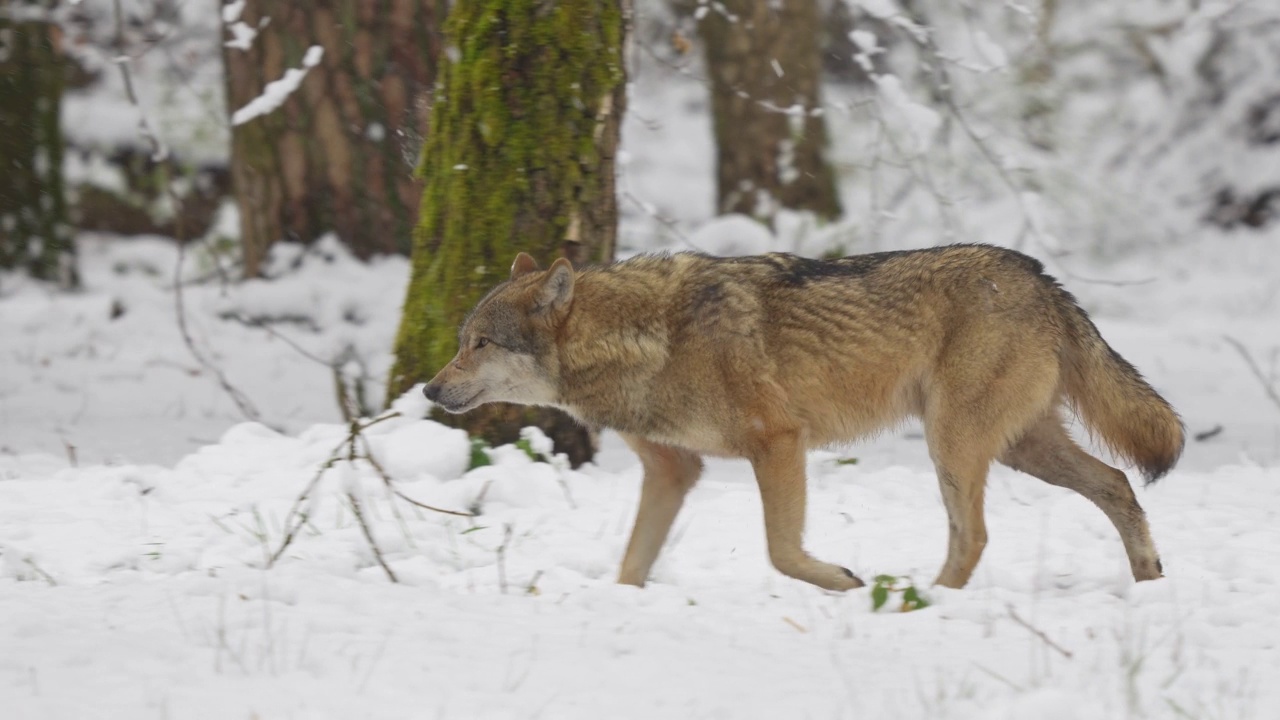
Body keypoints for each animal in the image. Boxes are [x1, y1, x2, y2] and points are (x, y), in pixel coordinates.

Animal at [424, 243, 1182, 591]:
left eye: (480, 344)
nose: (429, 390)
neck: (645, 336)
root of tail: (1039, 273)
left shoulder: (778, 442)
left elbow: (781, 552)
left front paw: (843, 582)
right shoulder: (674, 472)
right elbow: (630, 566)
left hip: (954, 446)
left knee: (976, 535)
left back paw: (928, 602)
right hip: (1022, 449)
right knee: (1118, 483)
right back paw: (1149, 578)